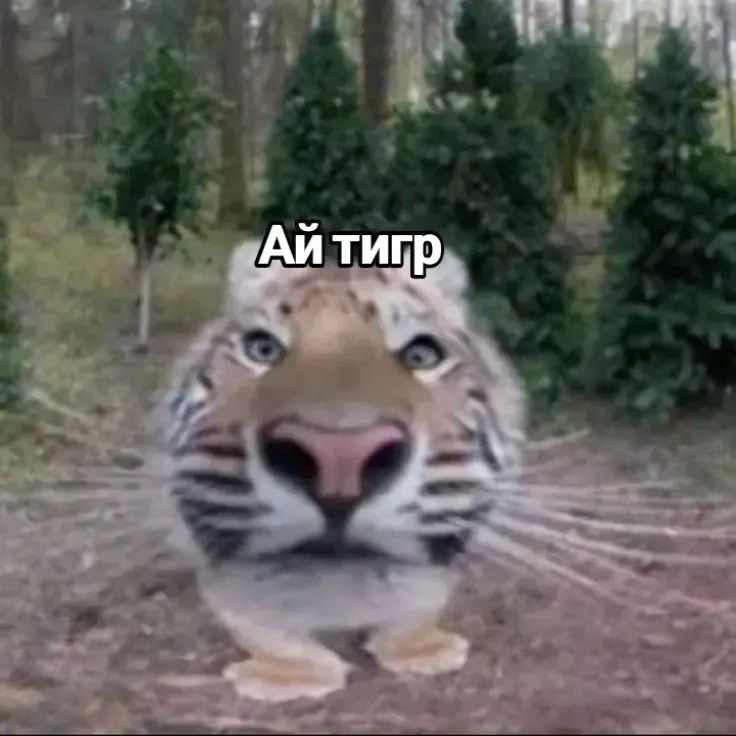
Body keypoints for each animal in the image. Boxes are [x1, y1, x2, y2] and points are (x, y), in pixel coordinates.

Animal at [153, 239, 527, 703]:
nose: (339, 457)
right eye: (263, 350)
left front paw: (423, 651)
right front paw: (293, 677)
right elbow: (261, 625)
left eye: (421, 355)